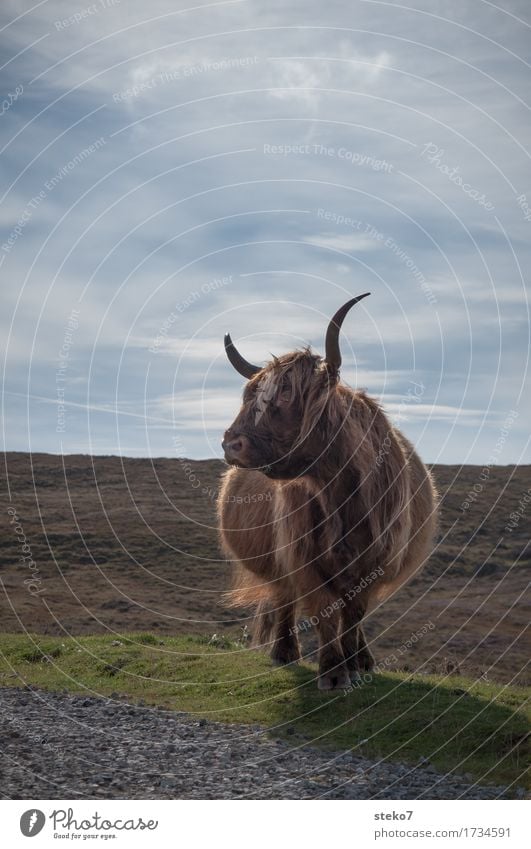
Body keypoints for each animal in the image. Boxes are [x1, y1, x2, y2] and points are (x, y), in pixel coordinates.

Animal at [218, 294, 438, 692]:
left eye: (287, 394)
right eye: (250, 396)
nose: (232, 444)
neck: (340, 495)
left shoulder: (375, 560)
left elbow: (354, 613)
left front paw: (351, 667)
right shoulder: (303, 557)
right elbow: (324, 611)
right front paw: (333, 672)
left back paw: (364, 660)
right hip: (278, 563)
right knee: (284, 599)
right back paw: (285, 653)